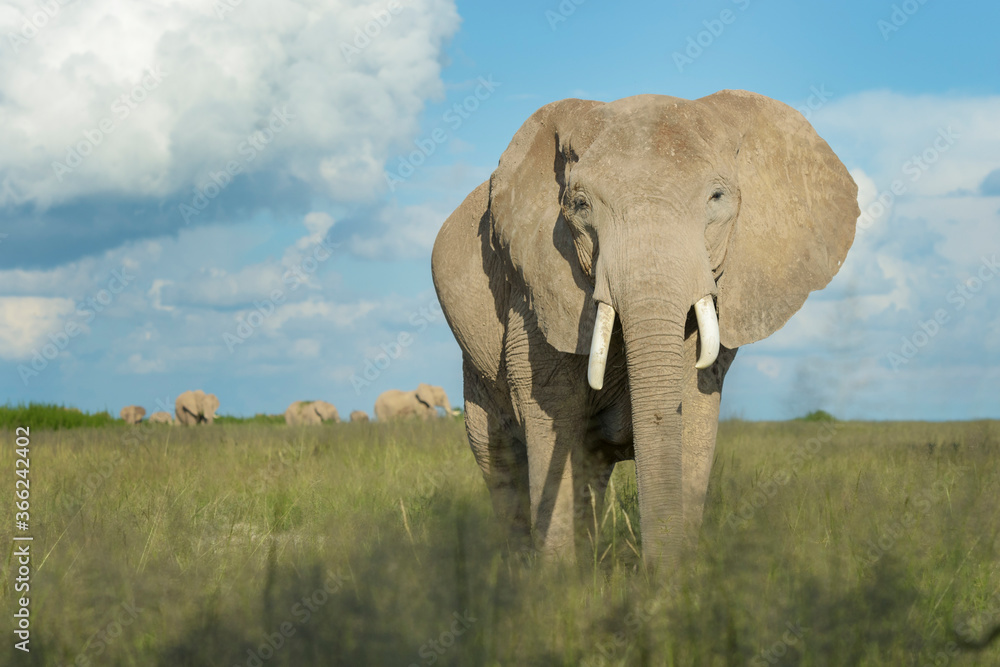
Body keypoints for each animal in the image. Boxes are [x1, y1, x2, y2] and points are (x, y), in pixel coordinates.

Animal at [431, 90, 858, 570]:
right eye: (580, 206)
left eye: (717, 197)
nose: (651, 575)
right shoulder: (533, 289)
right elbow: (550, 410)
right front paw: (557, 583)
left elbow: (694, 410)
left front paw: (675, 581)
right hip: (475, 370)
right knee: (499, 459)